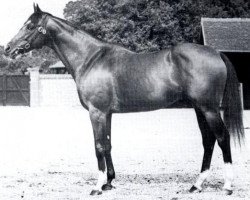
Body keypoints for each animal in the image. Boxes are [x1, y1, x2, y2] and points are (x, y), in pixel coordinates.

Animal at [5, 3, 244, 196]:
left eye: (29, 26)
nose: (8, 48)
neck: (90, 59)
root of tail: (216, 53)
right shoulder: (107, 114)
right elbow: (108, 144)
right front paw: (109, 182)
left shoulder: (97, 112)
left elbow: (98, 146)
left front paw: (97, 186)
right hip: (199, 108)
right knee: (208, 141)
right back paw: (197, 185)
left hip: (209, 109)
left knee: (222, 138)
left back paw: (227, 186)